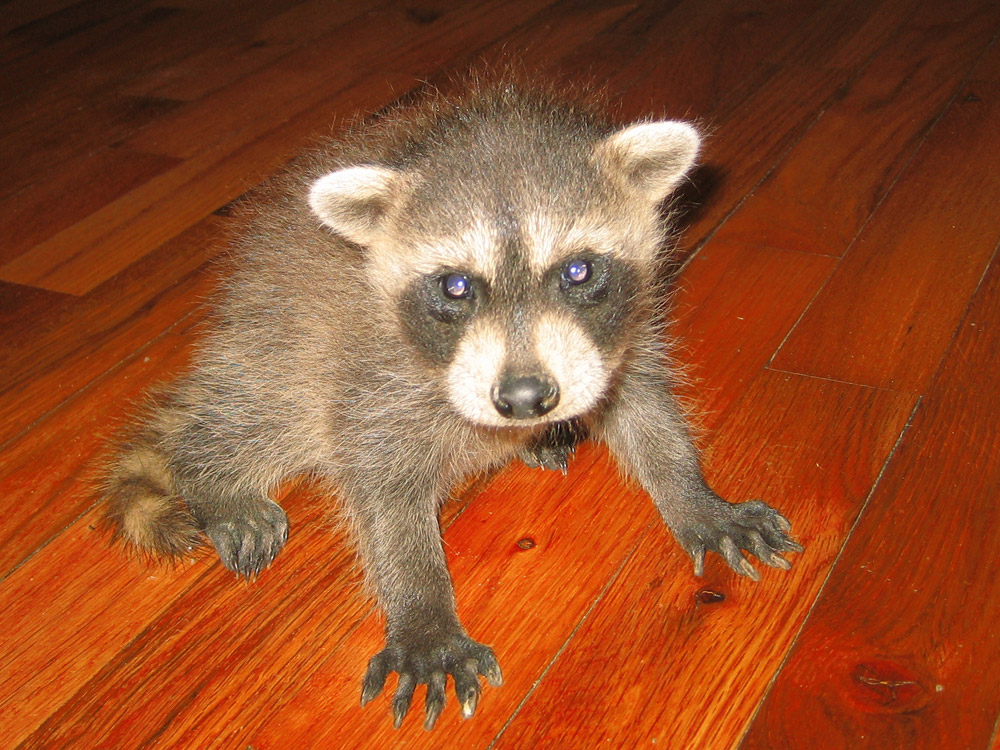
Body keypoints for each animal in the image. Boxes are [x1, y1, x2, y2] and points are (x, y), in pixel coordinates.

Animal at [103, 79, 802, 730]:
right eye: (456, 285)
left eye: (577, 271)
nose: (525, 401)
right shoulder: (371, 370)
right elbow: (382, 487)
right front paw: (423, 611)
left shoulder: (618, 333)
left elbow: (642, 406)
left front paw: (693, 494)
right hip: (282, 344)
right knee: (265, 413)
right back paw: (210, 472)